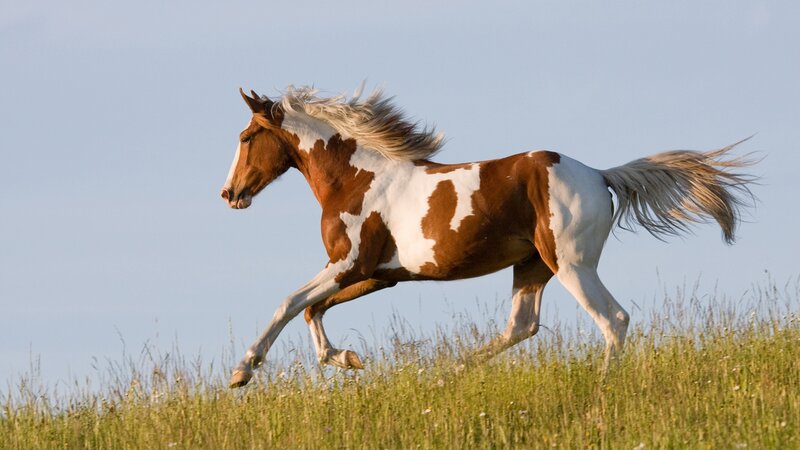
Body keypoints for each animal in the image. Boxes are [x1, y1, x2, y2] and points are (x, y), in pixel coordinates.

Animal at [221, 85, 755, 388]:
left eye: (246, 137)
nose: (229, 193)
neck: (358, 178)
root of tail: (601, 176)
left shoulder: (348, 263)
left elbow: (289, 303)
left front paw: (242, 371)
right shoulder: (379, 274)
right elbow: (313, 309)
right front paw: (349, 359)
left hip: (572, 265)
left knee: (613, 319)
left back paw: (603, 390)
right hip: (532, 265)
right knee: (521, 326)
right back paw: (444, 376)